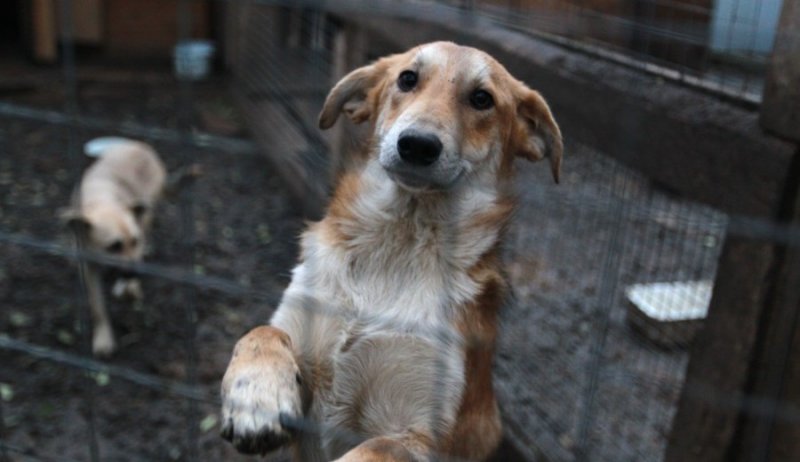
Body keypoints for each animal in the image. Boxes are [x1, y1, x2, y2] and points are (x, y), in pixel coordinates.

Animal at [63, 139, 167, 356]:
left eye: (134, 241)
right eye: (114, 247)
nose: (137, 274)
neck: (101, 200)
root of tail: (142, 146)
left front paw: (129, 287)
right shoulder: (89, 266)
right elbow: (97, 306)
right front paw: (103, 338)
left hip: (146, 215)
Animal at [216, 41, 560, 460]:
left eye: (482, 99)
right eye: (407, 79)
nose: (418, 144)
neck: (397, 245)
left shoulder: (418, 434)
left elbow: (374, 448)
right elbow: (262, 332)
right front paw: (256, 397)